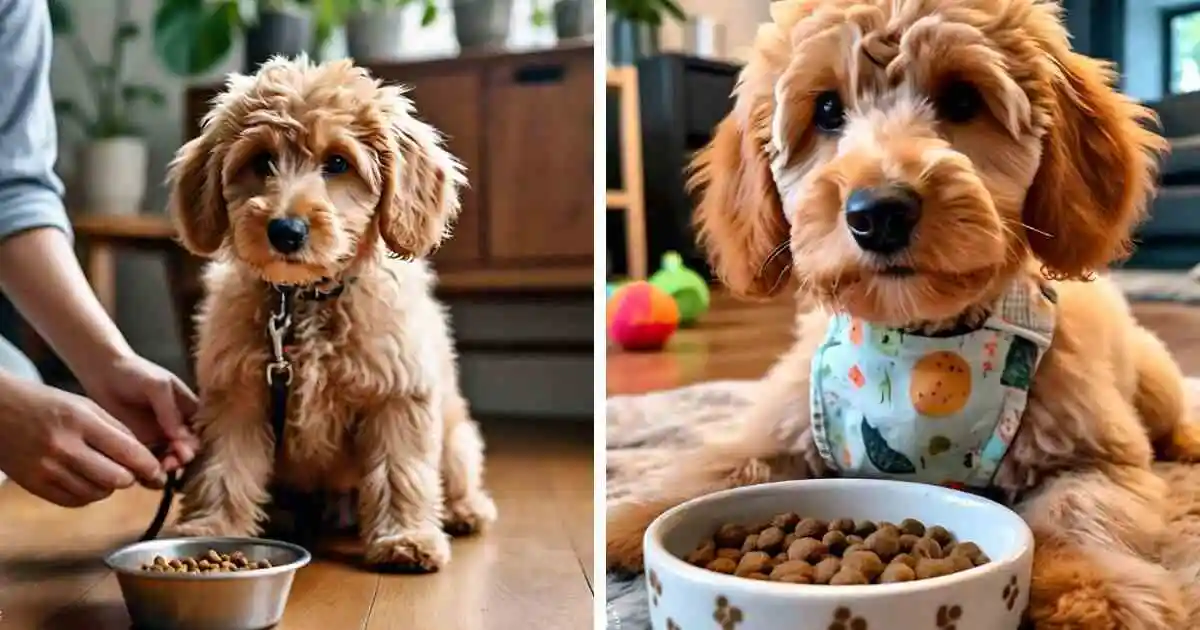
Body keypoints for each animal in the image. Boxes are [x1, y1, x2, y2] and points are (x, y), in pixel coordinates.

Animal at [162, 57, 494, 568]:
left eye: (337, 163)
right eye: (261, 160)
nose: (286, 230)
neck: (304, 300)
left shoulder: (397, 395)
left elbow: (401, 470)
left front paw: (406, 539)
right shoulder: (236, 395)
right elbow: (224, 468)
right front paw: (211, 529)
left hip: (456, 439)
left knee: (458, 475)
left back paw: (465, 511)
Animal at [609, 0, 1200, 624]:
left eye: (963, 99)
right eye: (827, 109)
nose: (879, 213)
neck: (917, 341)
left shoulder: (1092, 451)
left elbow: (1078, 514)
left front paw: (1096, 594)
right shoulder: (787, 418)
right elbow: (723, 463)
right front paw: (641, 513)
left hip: (1153, 379)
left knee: (1170, 414)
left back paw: (1188, 440)